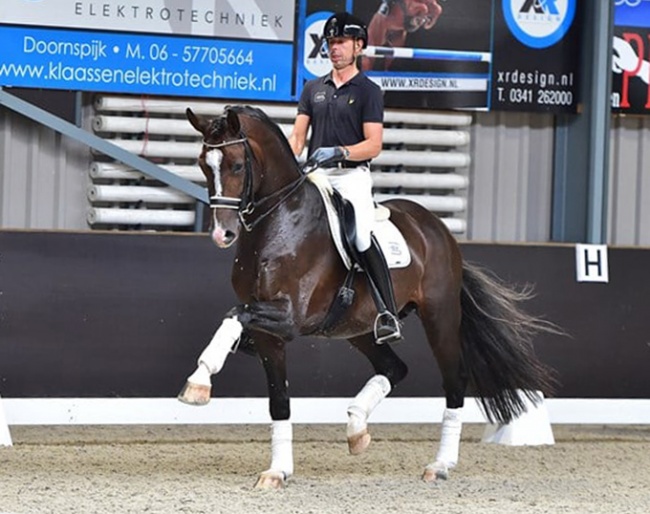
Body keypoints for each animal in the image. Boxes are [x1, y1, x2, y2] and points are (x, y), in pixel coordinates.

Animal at [177, 104, 556, 488]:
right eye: (203, 164)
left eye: (237, 165)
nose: (222, 234)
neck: (280, 223)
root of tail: (437, 228)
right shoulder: (270, 334)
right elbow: (278, 398)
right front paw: (278, 470)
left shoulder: (290, 317)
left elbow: (234, 313)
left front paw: (198, 382)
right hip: (359, 328)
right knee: (394, 367)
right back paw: (356, 427)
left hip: (440, 317)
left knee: (454, 380)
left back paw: (440, 464)